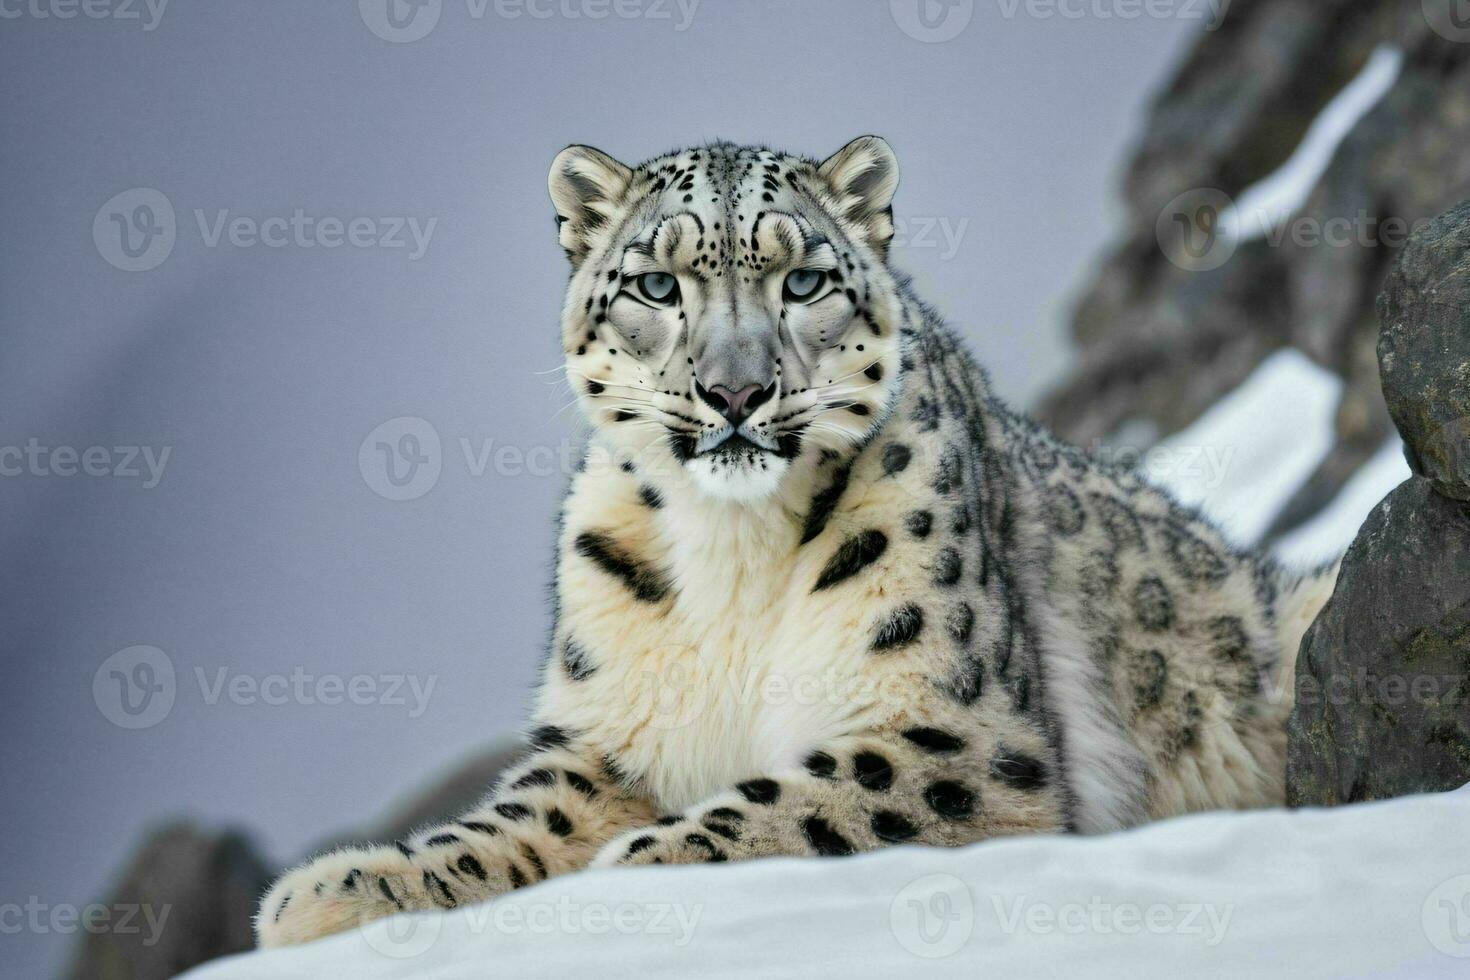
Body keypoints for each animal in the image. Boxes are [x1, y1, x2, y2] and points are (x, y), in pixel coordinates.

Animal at [258, 139, 1340, 952]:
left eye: (805, 278)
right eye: (656, 284)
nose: (735, 390)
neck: (731, 552)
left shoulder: (960, 731)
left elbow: (797, 801)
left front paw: (638, 870)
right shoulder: (607, 740)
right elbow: (511, 825)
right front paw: (336, 891)